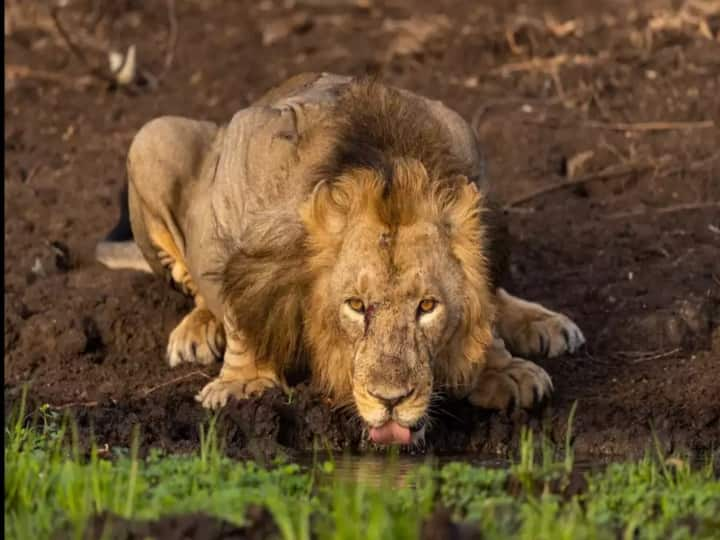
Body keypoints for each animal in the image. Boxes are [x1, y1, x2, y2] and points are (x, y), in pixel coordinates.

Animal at [97, 71, 584, 442]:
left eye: (427, 306)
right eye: (355, 305)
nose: (391, 401)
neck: (387, 163)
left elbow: (484, 302)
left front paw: (503, 368)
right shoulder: (237, 184)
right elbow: (239, 309)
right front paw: (244, 383)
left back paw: (544, 322)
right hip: (153, 135)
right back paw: (197, 331)